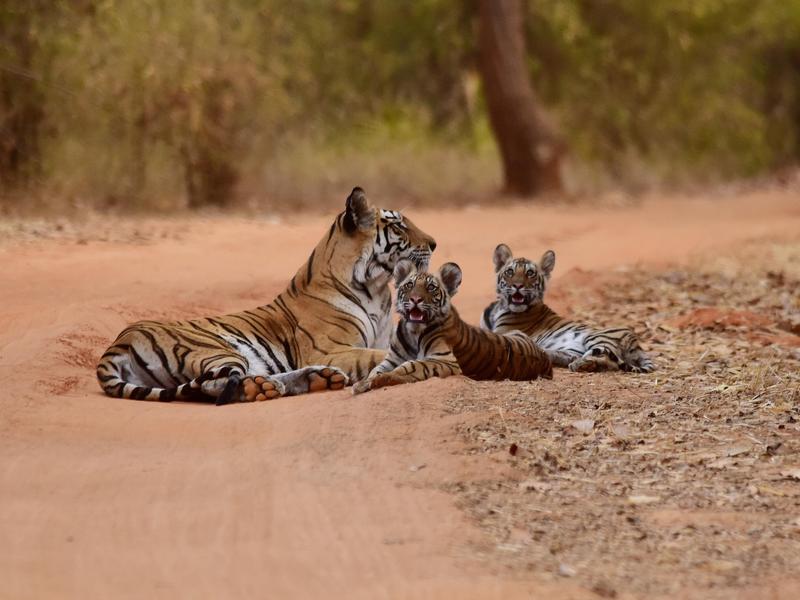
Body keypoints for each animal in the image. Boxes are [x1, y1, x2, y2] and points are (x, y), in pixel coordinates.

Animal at [96, 187, 436, 404]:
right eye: (399, 226)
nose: (434, 243)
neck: (377, 289)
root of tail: (117, 343)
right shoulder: (331, 349)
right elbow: (378, 356)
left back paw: (319, 379)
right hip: (215, 349)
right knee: (215, 385)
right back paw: (266, 388)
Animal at [352, 259, 552, 393]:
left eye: (431, 288)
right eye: (409, 285)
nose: (415, 299)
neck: (413, 332)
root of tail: (545, 359)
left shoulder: (445, 360)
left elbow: (411, 365)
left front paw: (375, 381)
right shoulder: (392, 359)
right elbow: (376, 369)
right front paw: (364, 382)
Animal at [480, 243, 655, 373]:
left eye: (530, 273)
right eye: (510, 272)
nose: (517, 285)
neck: (499, 308)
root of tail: (636, 342)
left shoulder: (503, 332)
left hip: (596, 337)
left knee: (607, 360)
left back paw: (580, 364)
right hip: (572, 349)